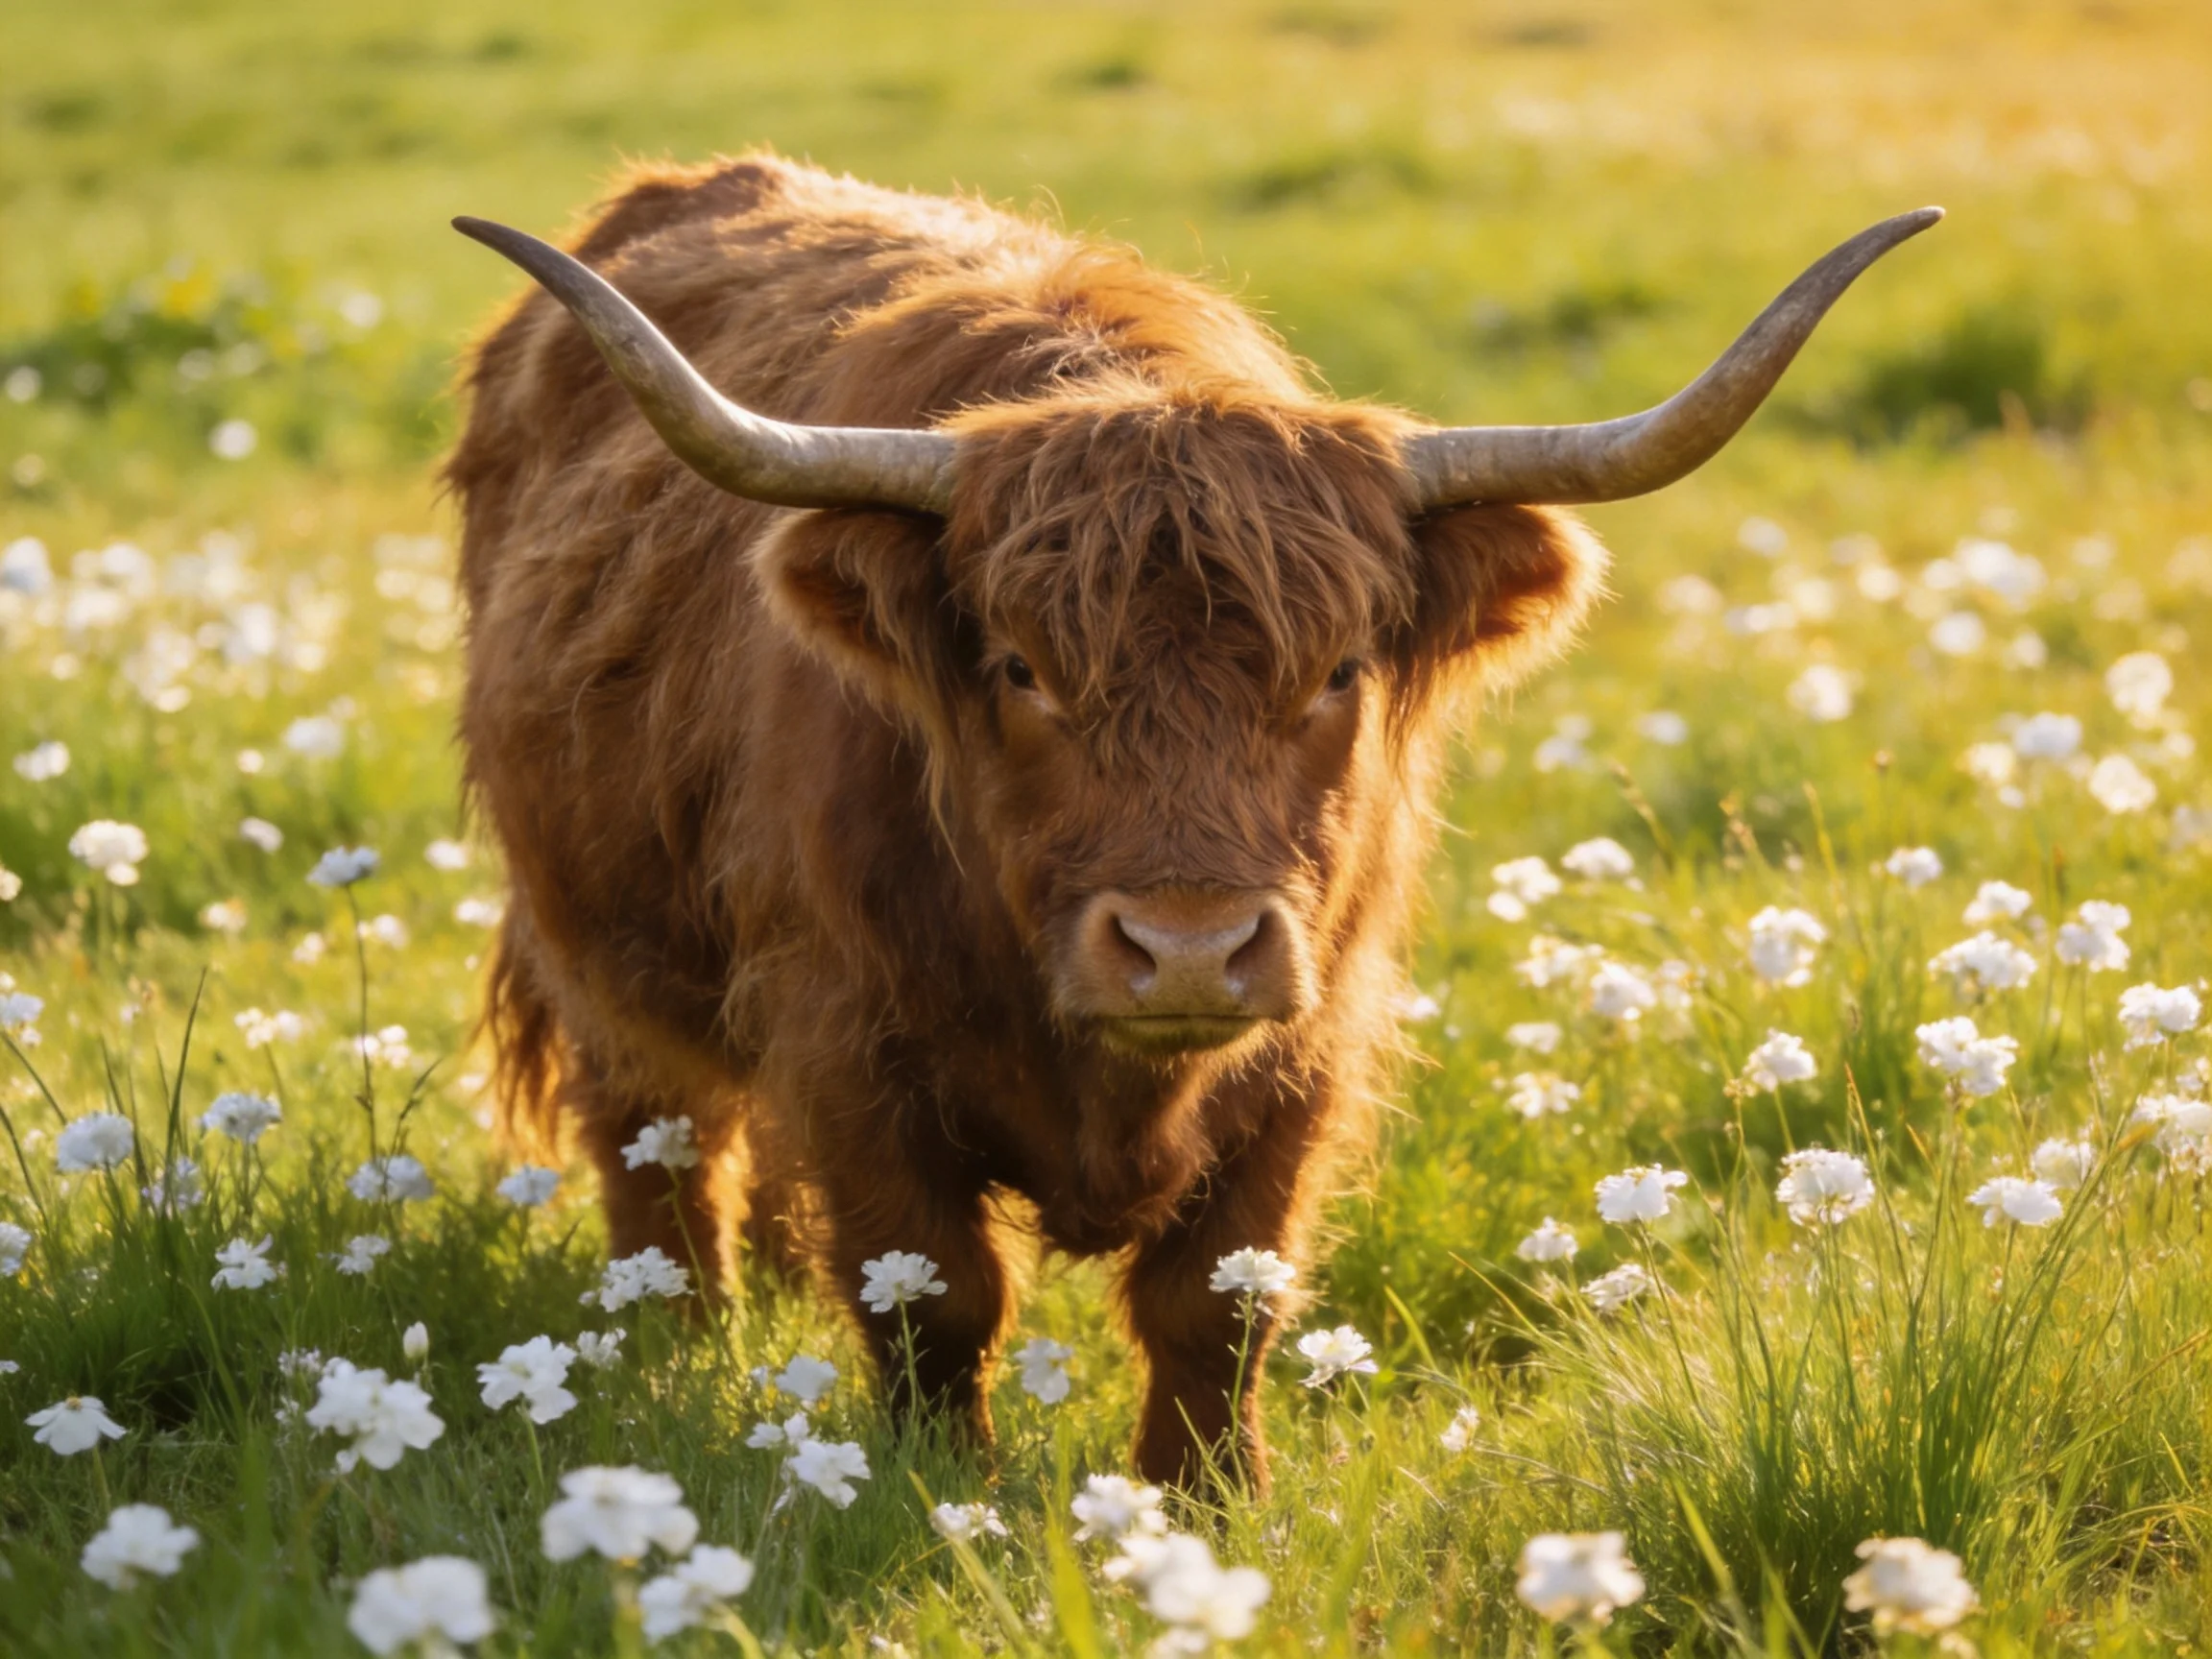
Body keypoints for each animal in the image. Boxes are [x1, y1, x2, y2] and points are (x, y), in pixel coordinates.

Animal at [446, 152, 1935, 1486]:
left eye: (1336, 671)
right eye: (1021, 669)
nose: (1187, 950)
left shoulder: (1311, 1041)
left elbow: (1219, 1298)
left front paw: (1204, 1498)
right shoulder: (843, 1036)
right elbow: (930, 1291)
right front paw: (943, 1491)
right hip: (595, 951)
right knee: (658, 1141)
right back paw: (676, 1335)